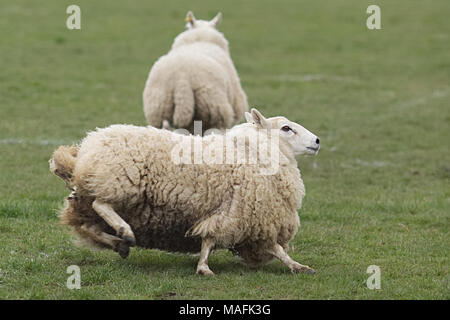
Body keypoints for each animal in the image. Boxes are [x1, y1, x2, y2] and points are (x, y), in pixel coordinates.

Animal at [49, 109, 320, 274]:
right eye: (286, 128)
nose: (317, 141)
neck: (252, 152)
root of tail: (86, 150)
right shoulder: (238, 213)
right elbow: (211, 239)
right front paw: (203, 268)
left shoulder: (253, 220)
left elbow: (276, 248)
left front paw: (297, 266)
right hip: (119, 183)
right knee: (102, 205)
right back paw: (125, 232)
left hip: (90, 198)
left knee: (90, 227)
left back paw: (119, 244)